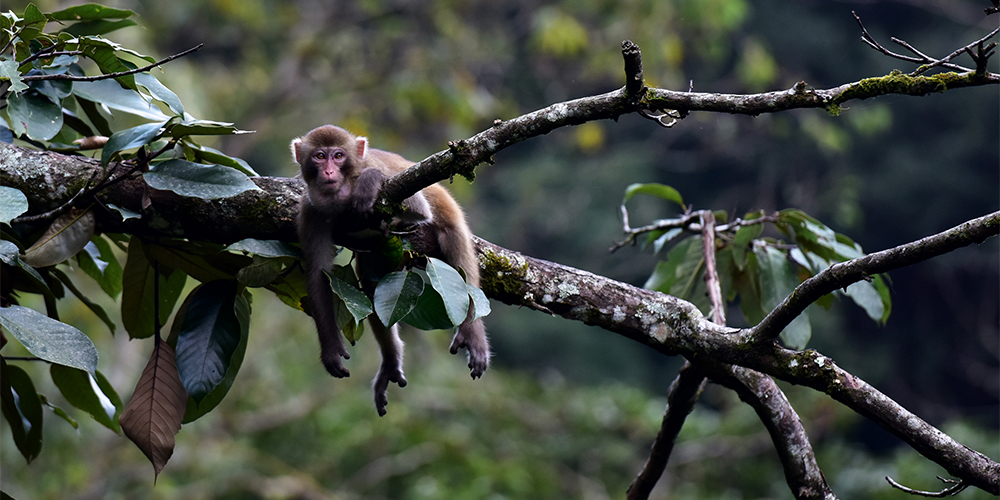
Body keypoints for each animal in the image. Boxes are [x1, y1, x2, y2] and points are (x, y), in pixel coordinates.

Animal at [292, 124, 490, 414]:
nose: (328, 172)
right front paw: (331, 348)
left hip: (444, 202)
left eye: (338, 156)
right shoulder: (310, 212)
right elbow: (318, 275)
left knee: (456, 245)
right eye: (319, 156)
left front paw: (369, 181)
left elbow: (417, 208)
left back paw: (471, 331)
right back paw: (391, 358)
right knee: (370, 283)